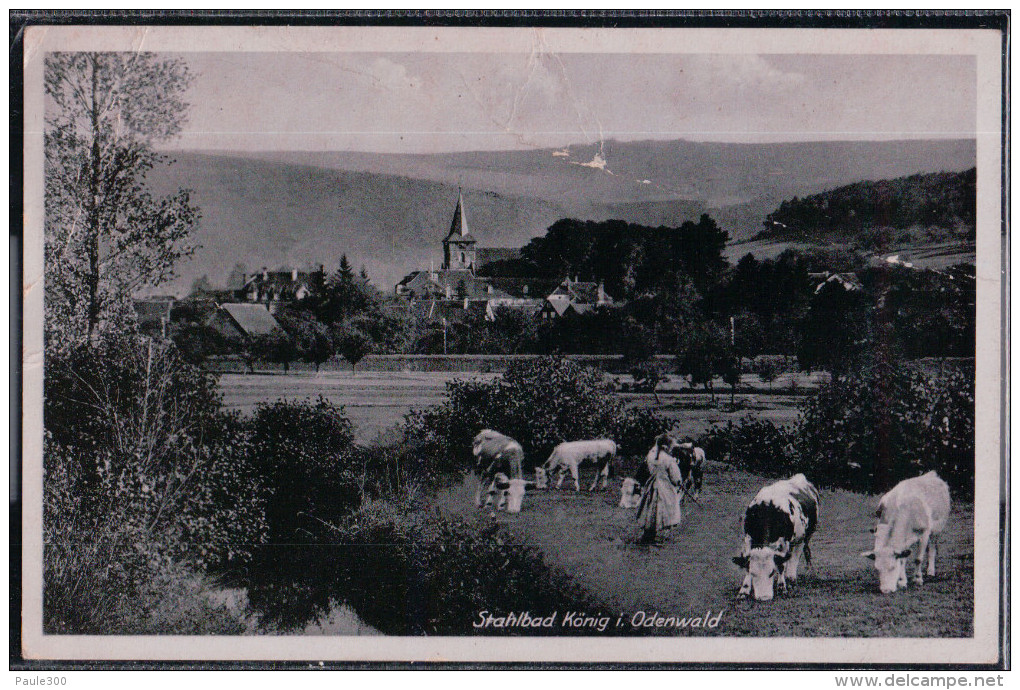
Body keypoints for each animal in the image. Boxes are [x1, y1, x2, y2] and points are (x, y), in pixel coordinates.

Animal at [734, 471, 820, 600]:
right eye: (753, 573)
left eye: (772, 572)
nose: (764, 597)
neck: (767, 511)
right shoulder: (748, 539)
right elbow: (746, 563)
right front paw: (744, 590)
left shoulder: (784, 543)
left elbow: (781, 565)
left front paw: (781, 587)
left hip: (805, 535)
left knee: (799, 554)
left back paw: (793, 578)